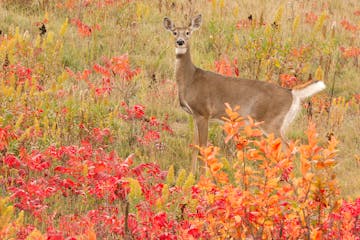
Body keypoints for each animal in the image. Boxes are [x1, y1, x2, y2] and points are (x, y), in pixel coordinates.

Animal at [164, 14, 326, 172]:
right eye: (174, 32)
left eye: (188, 32)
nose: (180, 42)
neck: (190, 79)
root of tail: (292, 92)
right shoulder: (195, 115)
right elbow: (194, 147)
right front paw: (191, 175)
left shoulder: (203, 112)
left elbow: (203, 148)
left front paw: (203, 177)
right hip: (281, 124)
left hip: (272, 123)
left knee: (290, 149)